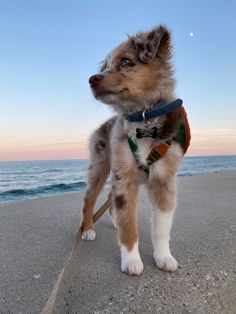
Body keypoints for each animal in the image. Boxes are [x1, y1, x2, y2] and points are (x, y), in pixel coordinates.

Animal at [80, 25, 191, 274]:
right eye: (106, 66)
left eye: (126, 61)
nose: (91, 79)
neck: (143, 118)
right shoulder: (125, 176)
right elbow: (129, 224)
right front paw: (131, 261)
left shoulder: (164, 179)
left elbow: (161, 227)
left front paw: (163, 257)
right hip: (100, 167)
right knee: (89, 200)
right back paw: (87, 229)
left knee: (109, 203)